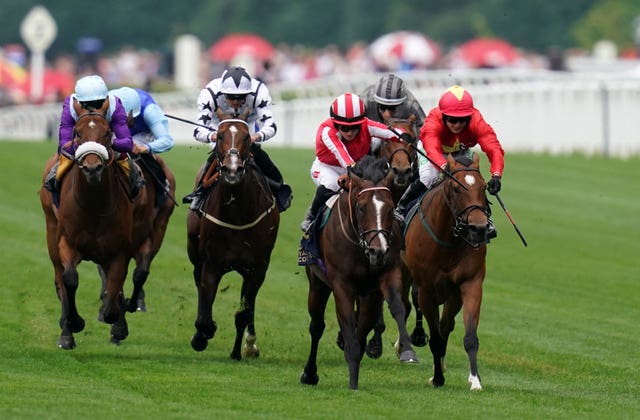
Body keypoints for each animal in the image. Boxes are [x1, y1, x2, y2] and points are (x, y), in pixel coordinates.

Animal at [39, 98, 150, 348]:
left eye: (107, 132)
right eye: (77, 133)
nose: (92, 168)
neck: (94, 205)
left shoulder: (118, 250)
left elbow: (114, 290)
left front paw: (117, 321)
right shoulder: (66, 243)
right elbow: (69, 280)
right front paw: (74, 323)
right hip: (51, 231)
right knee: (59, 281)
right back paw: (66, 332)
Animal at [186, 109, 278, 360]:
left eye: (247, 137)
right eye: (219, 136)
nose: (233, 170)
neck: (237, 214)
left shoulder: (257, 267)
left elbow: (244, 312)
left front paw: (242, 349)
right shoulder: (212, 263)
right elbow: (205, 307)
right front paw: (202, 334)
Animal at [298, 156, 412, 388]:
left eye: (390, 207)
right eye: (361, 208)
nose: (379, 250)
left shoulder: (381, 281)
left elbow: (396, 308)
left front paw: (407, 351)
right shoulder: (342, 285)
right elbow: (349, 329)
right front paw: (352, 384)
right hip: (317, 283)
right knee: (317, 326)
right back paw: (310, 373)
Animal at [404, 151, 490, 390]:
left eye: (484, 187)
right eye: (456, 188)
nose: (479, 229)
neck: (448, 240)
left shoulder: (469, 284)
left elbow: (467, 336)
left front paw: (475, 380)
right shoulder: (427, 290)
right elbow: (434, 338)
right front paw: (438, 379)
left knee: (445, 326)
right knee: (403, 305)